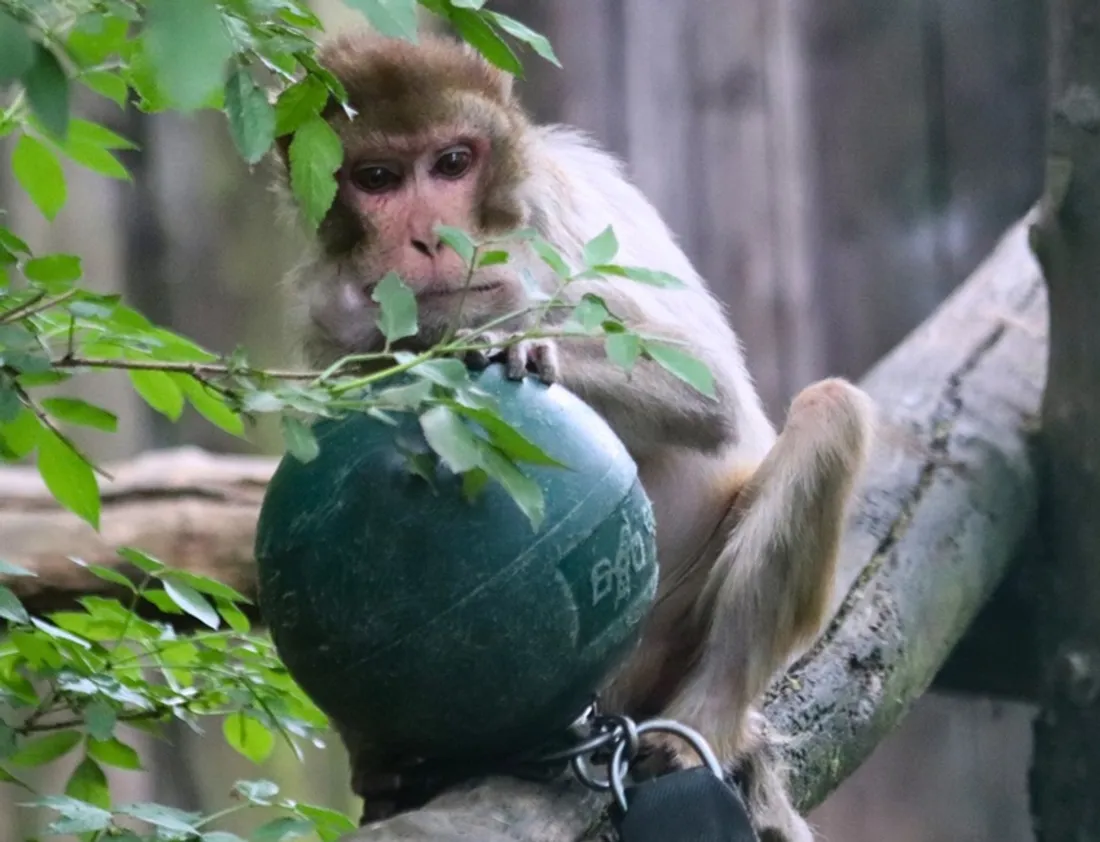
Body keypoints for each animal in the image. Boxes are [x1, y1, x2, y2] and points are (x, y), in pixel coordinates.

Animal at [271, 30, 874, 842]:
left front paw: (515, 347)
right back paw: (395, 766)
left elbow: (706, 386)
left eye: (452, 163)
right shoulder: (319, 305)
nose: (430, 240)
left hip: (659, 639)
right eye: (377, 178)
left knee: (830, 412)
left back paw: (707, 722)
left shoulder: (560, 219)